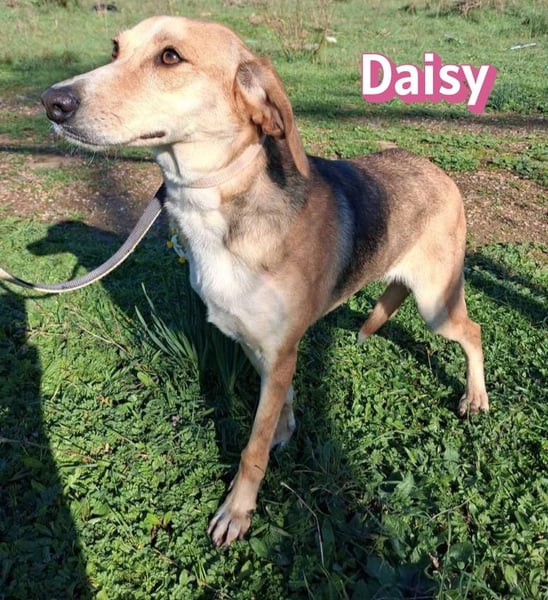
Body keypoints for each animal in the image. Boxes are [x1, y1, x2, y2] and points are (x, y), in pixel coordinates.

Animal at [41, 16, 488, 547]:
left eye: (170, 57)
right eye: (114, 49)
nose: (52, 101)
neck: (216, 205)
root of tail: (440, 173)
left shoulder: (279, 347)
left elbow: (250, 450)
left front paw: (238, 510)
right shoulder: (259, 344)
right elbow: (282, 401)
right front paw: (283, 429)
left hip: (436, 304)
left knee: (474, 332)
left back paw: (476, 397)